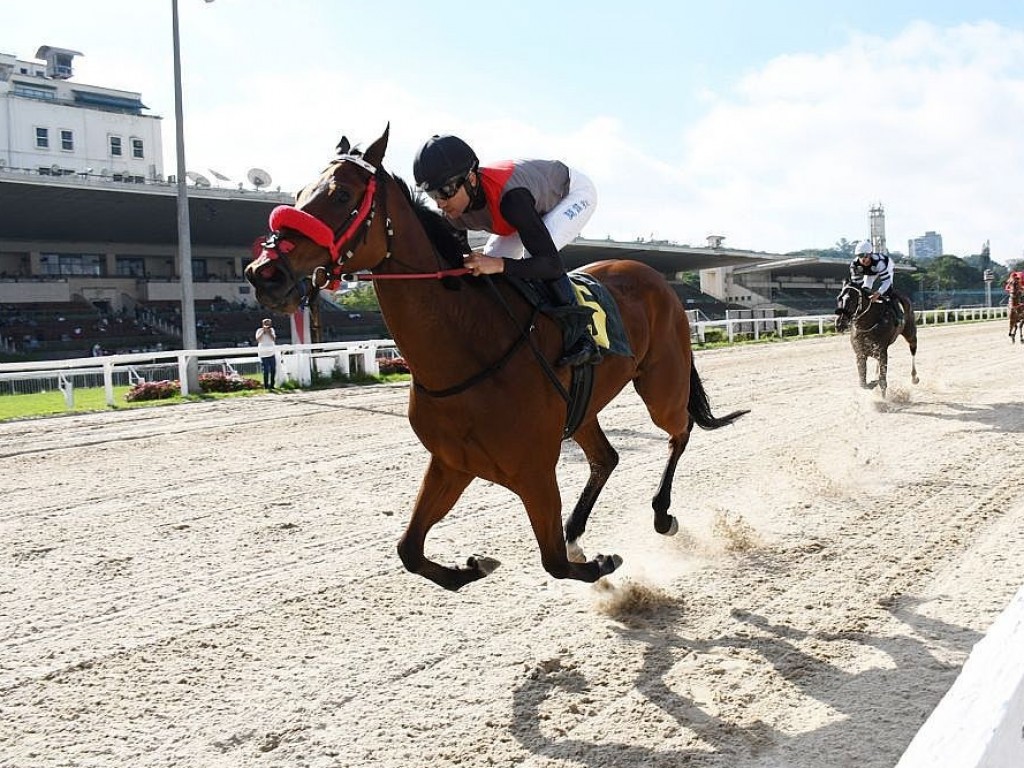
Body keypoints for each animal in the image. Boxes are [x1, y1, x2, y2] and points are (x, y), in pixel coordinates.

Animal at [243, 129, 749, 593]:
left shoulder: (535, 472)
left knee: (679, 429)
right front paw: (472, 568)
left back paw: (662, 514)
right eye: (299, 194)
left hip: (661, 384)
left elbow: (553, 563)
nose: (263, 273)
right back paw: (577, 532)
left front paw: (601, 564)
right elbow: (409, 550)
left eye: (342, 194)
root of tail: (654, 277)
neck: (466, 348)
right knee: (606, 458)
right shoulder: (452, 463)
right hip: (584, 408)